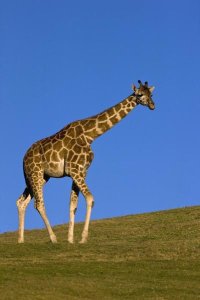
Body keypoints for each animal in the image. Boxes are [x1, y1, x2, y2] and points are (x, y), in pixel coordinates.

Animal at [16, 79, 155, 244]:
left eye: (151, 94)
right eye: (139, 94)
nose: (153, 105)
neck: (90, 135)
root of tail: (24, 158)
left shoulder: (81, 171)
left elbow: (73, 205)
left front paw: (70, 240)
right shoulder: (75, 170)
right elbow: (90, 199)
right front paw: (83, 238)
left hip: (40, 176)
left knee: (21, 201)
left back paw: (20, 240)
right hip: (35, 173)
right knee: (38, 204)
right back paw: (53, 238)